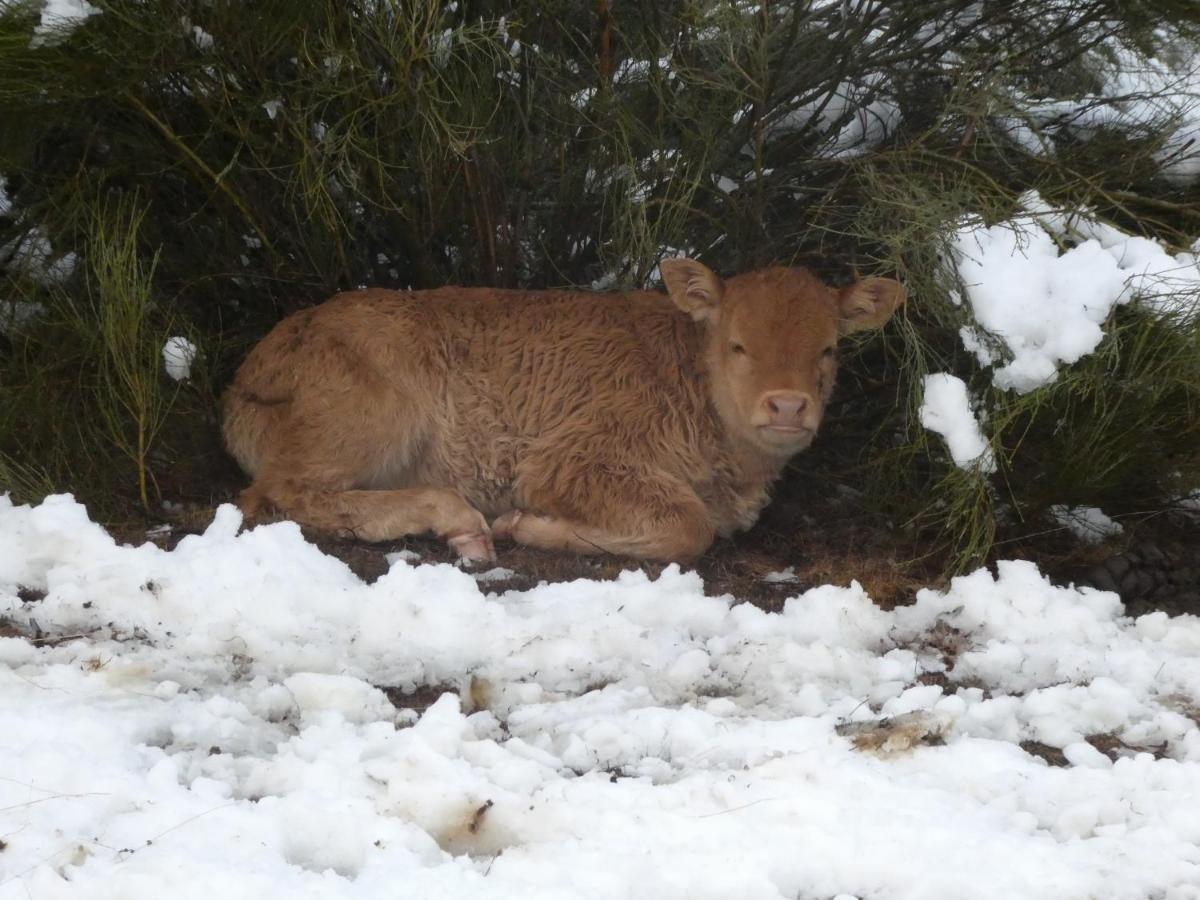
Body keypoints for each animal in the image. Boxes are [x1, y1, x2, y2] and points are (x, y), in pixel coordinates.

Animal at [223, 256, 902, 561]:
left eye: (828, 348)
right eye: (737, 344)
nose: (787, 405)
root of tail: (255, 366)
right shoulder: (570, 460)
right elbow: (687, 529)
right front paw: (523, 525)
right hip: (373, 415)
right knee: (278, 494)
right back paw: (459, 521)